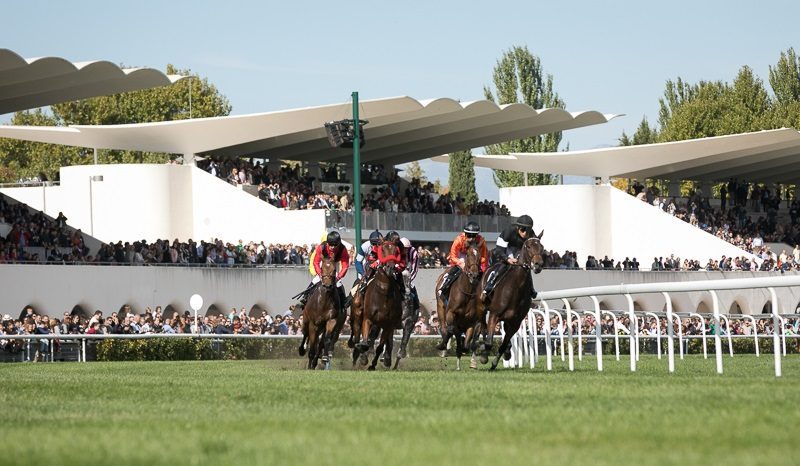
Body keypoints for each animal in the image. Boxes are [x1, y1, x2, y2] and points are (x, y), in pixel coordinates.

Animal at [354, 240, 404, 372]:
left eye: (396, 251)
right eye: (382, 250)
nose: (390, 267)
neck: (383, 294)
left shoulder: (388, 324)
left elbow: (380, 347)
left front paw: (372, 365)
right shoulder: (367, 319)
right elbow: (365, 342)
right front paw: (363, 358)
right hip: (358, 315)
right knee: (358, 336)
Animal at [434, 242, 484, 370]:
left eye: (479, 256)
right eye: (468, 254)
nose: (474, 275)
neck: (467, 292)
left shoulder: (473, 321)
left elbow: (467, 343)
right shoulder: (451, 313)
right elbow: (452, 330)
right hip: (440, 307)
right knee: (445, 329)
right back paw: (443, 346)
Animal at [478, 235, 548, 370]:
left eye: (542, 247)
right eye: (528, 246)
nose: (538, 264)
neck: (516, 288)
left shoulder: (515, 322)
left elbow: (504, 344)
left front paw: (496, 362)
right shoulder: (494, 315)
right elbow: (489, 342)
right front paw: (483, 355)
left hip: (508, 320)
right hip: (483, 307)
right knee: (482, 326)